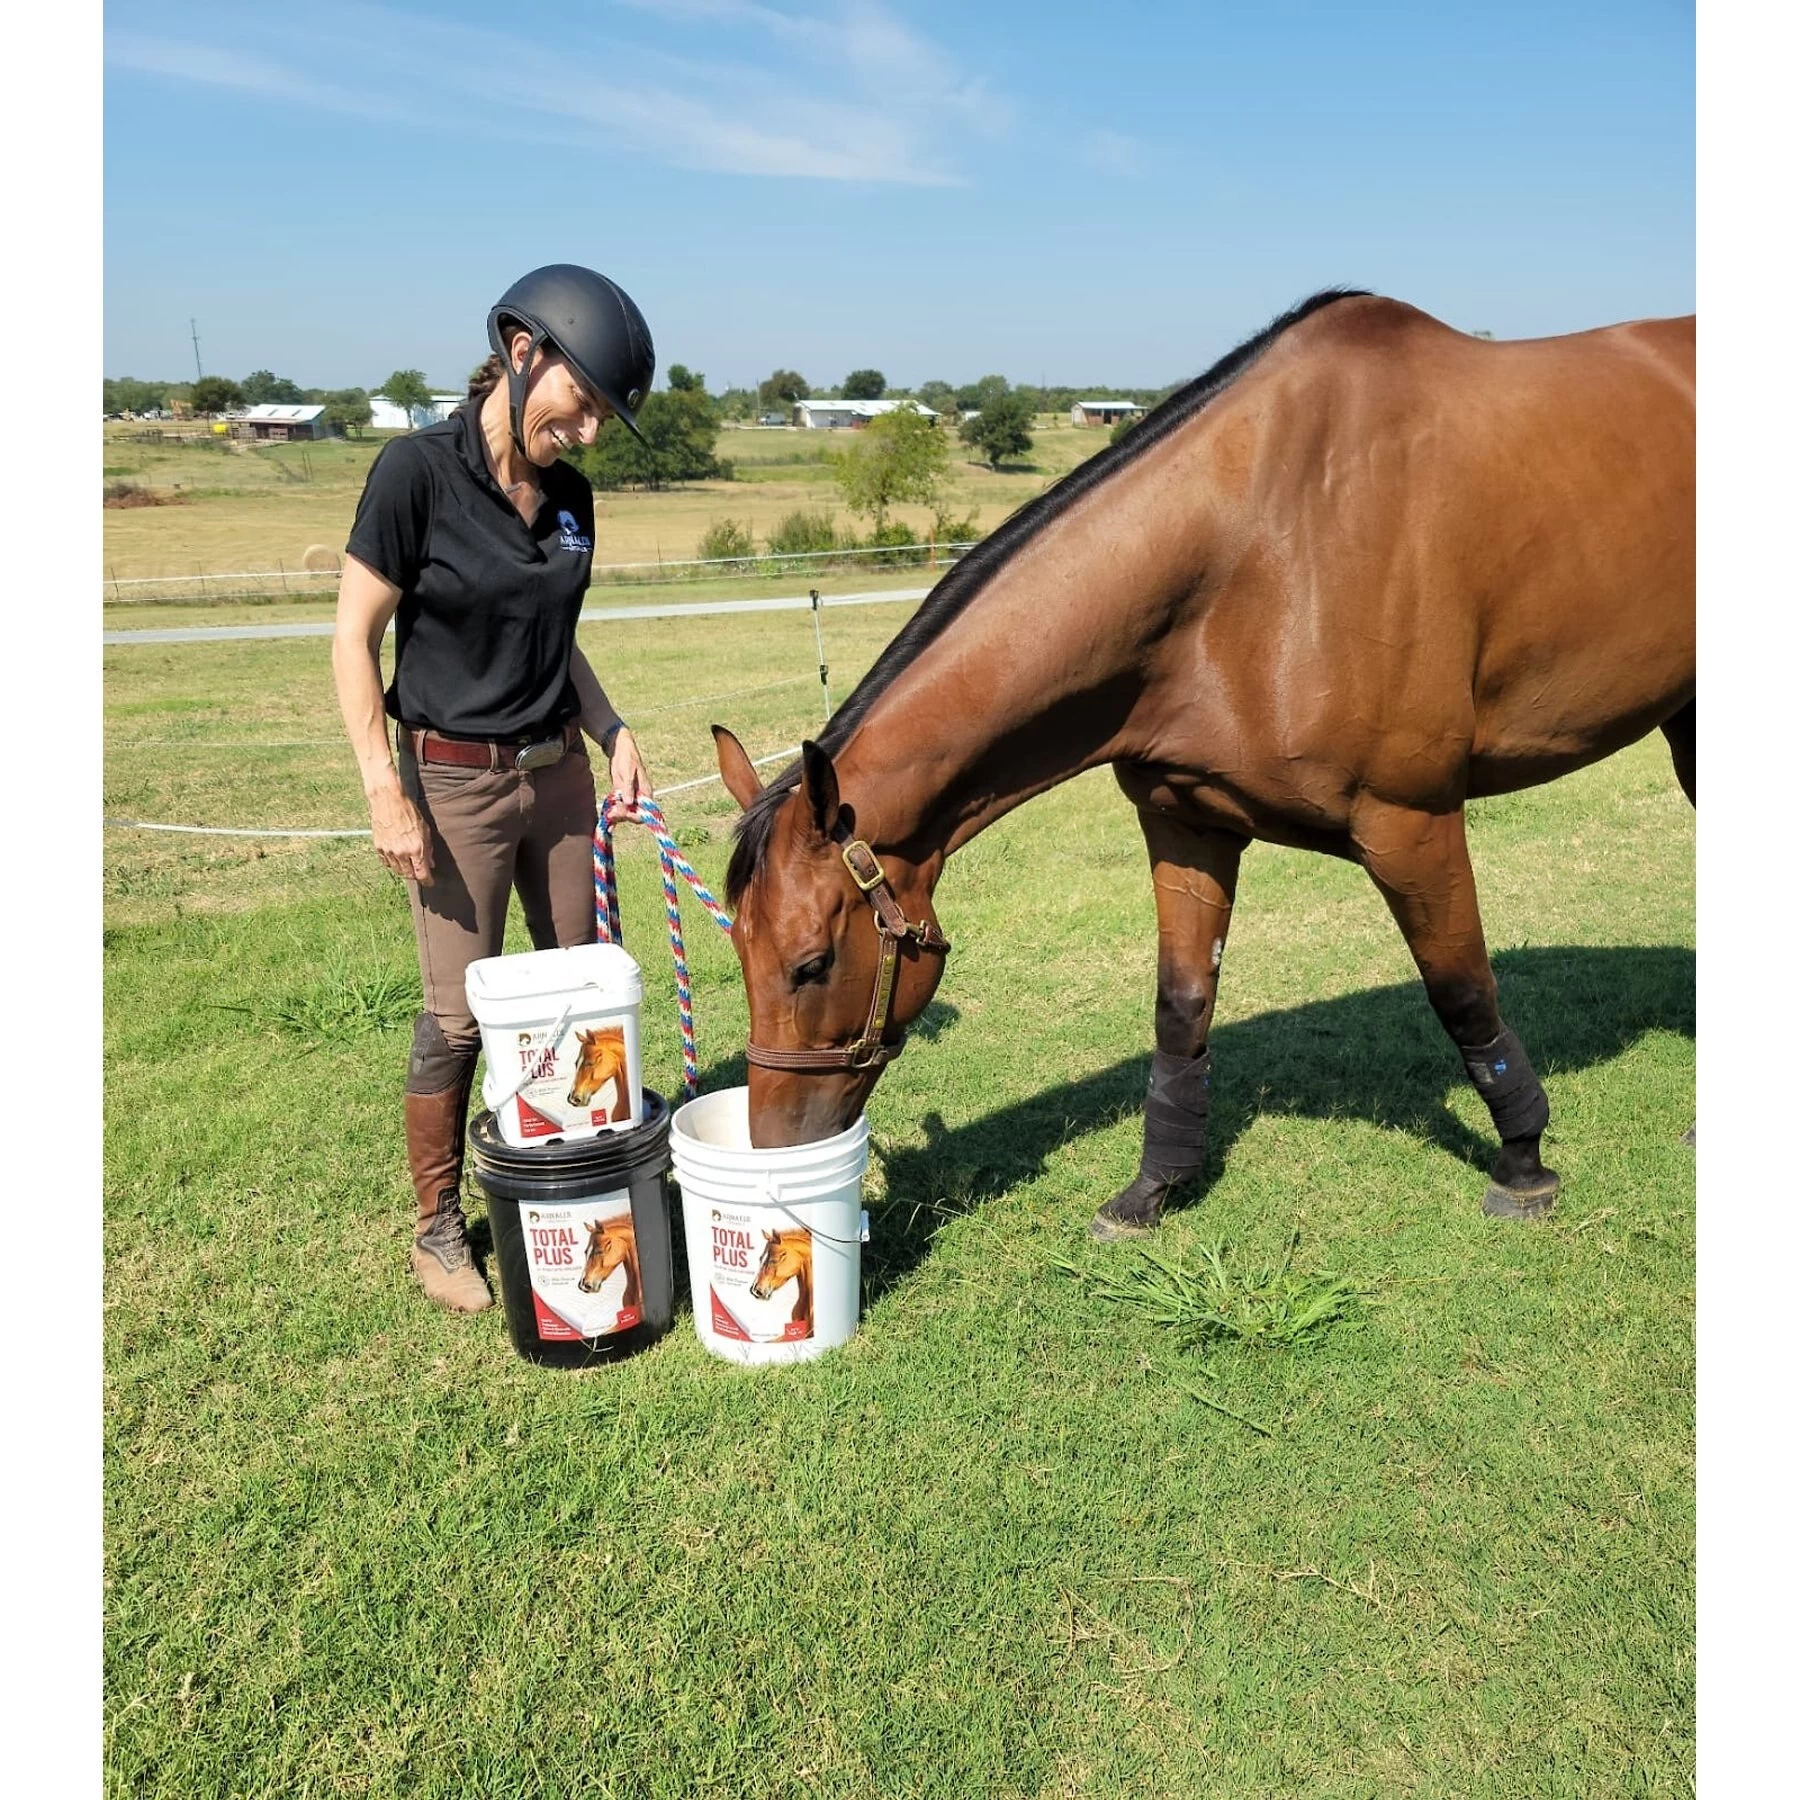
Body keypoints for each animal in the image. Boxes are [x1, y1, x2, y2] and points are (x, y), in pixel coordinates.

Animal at [711, 290, 1694, 1240]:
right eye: (741, 952)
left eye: (809, 964)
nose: (775, 1145)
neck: (1261, 542)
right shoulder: (1188, 825)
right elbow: (1181, 1009)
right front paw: (1152, 1189)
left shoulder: (1410, 824)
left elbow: (1463, 993)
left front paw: (1524, 1163)